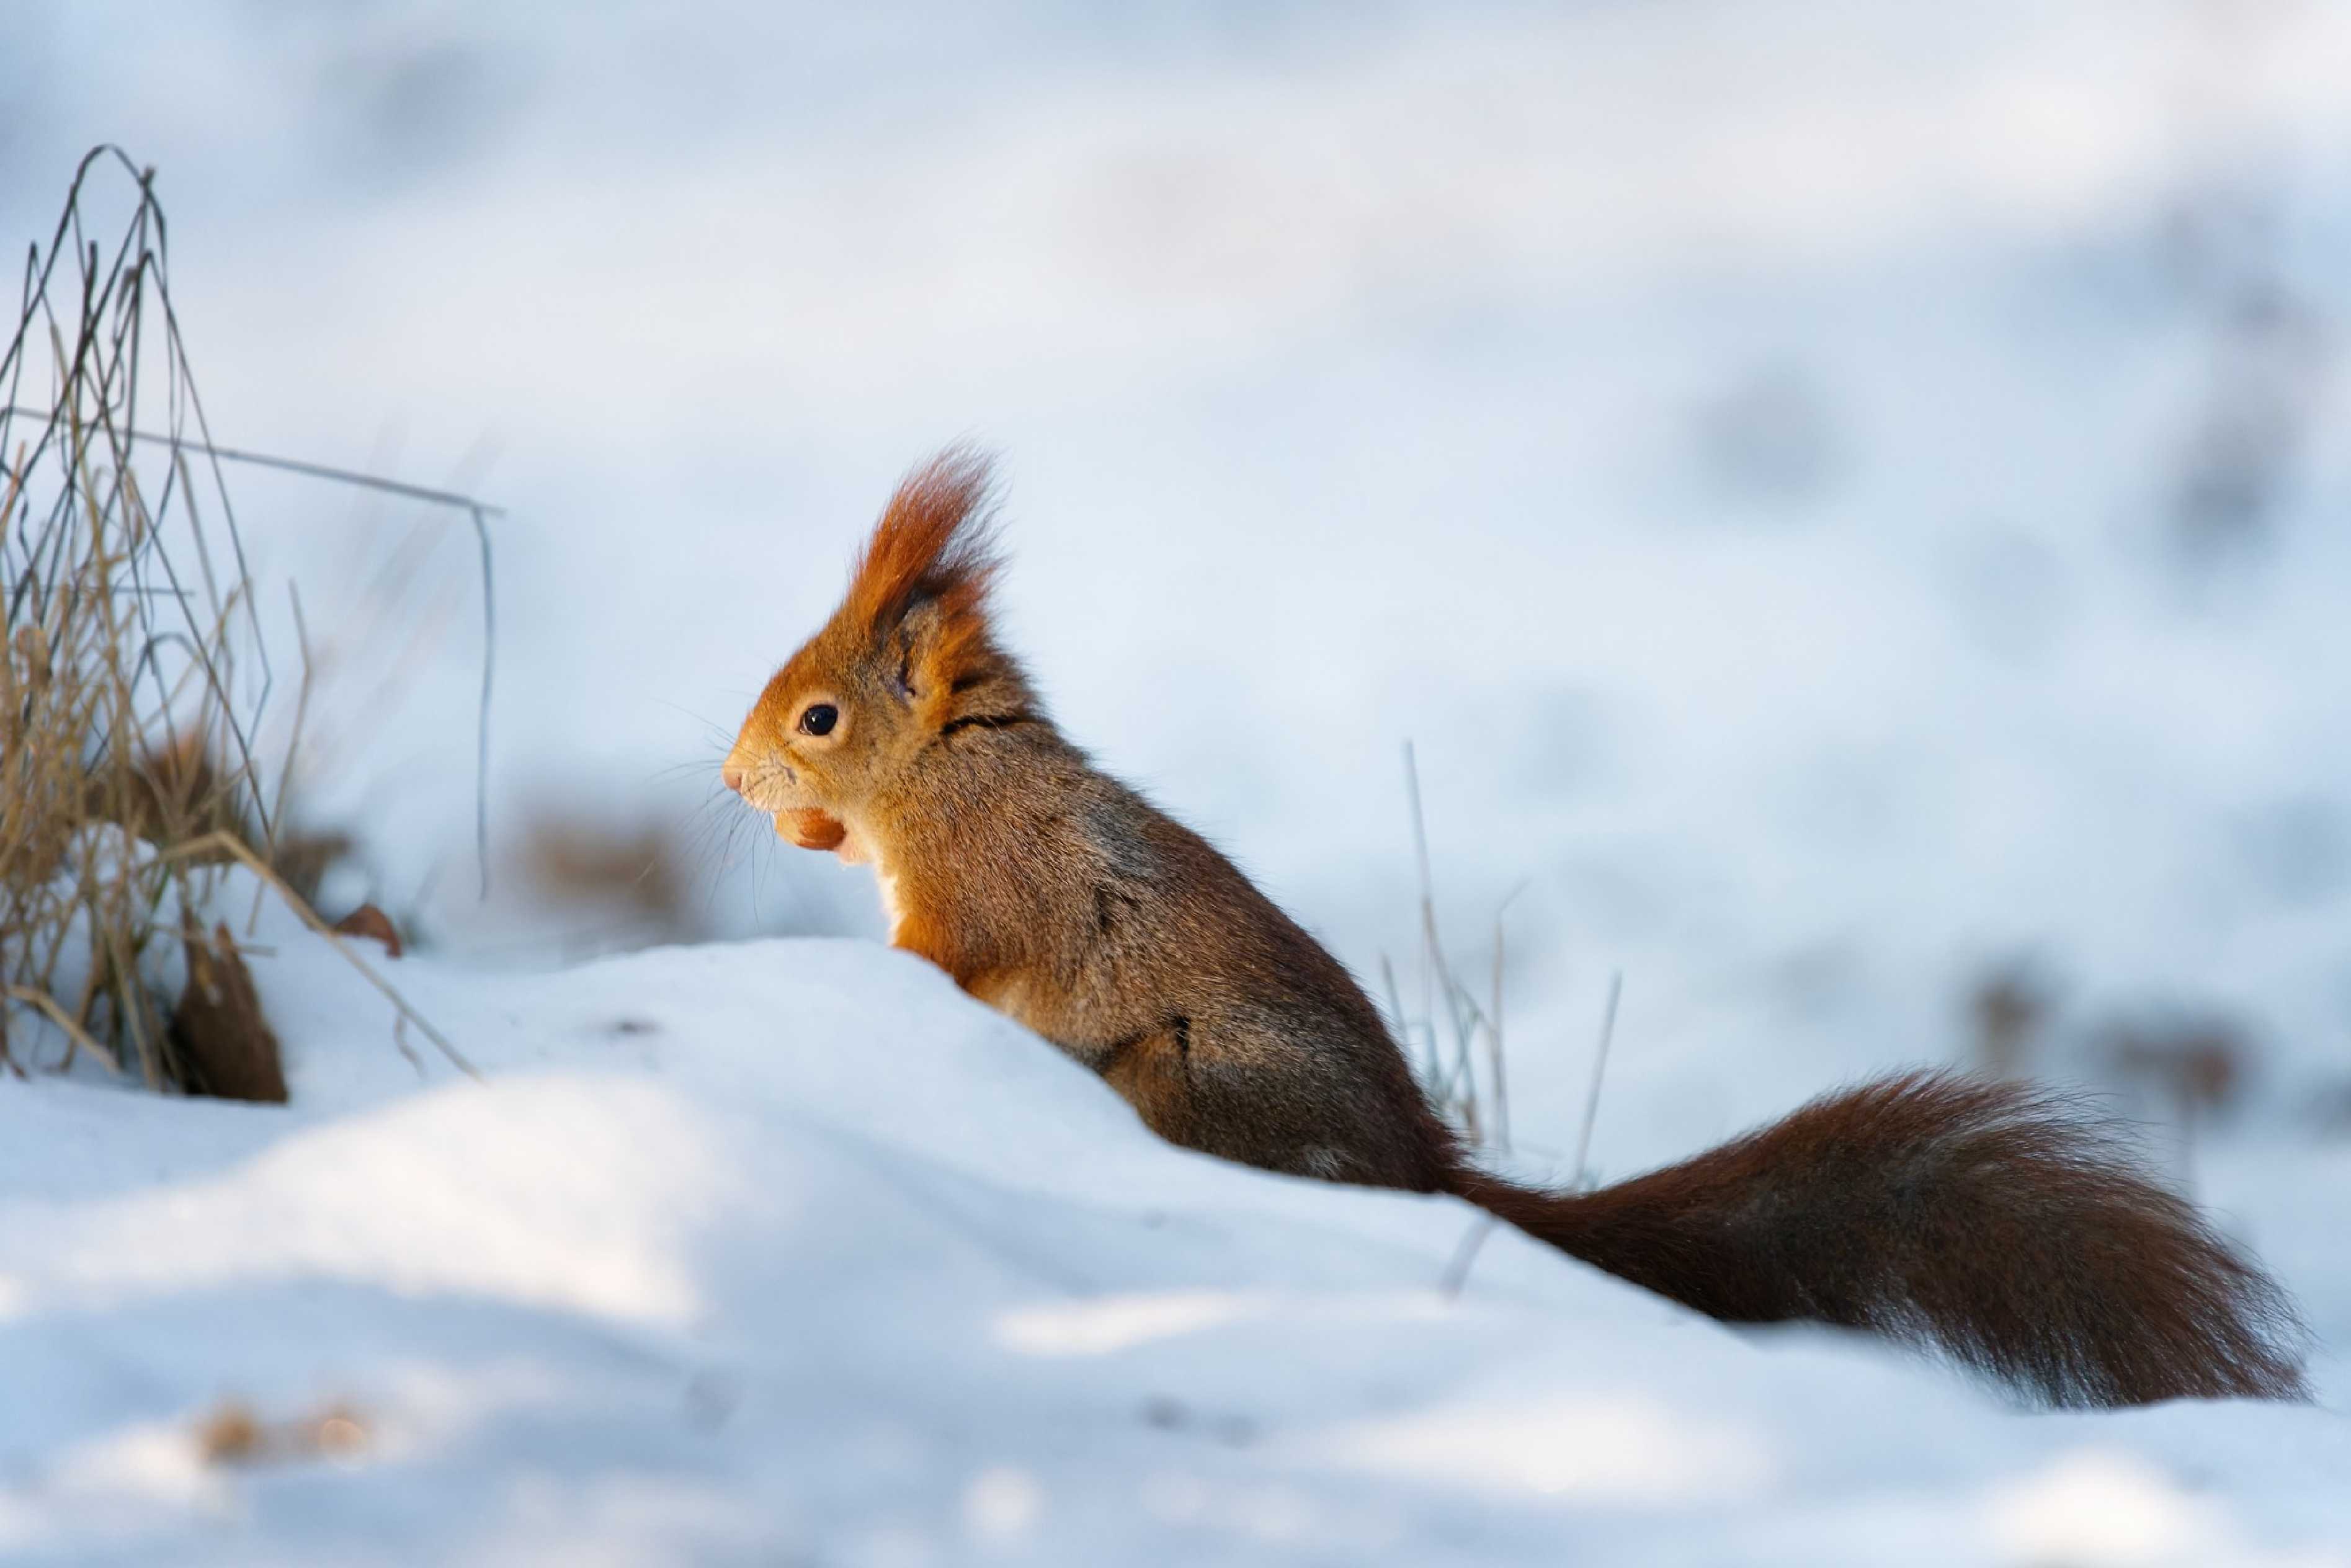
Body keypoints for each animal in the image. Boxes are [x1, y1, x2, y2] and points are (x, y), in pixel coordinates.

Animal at [724, 451, 2304, 1410]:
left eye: (820, 717)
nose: (735, 783)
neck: (942, 779)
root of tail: (1425, 1174)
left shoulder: (985, 884)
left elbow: (944, 963)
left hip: (1188, 1080)